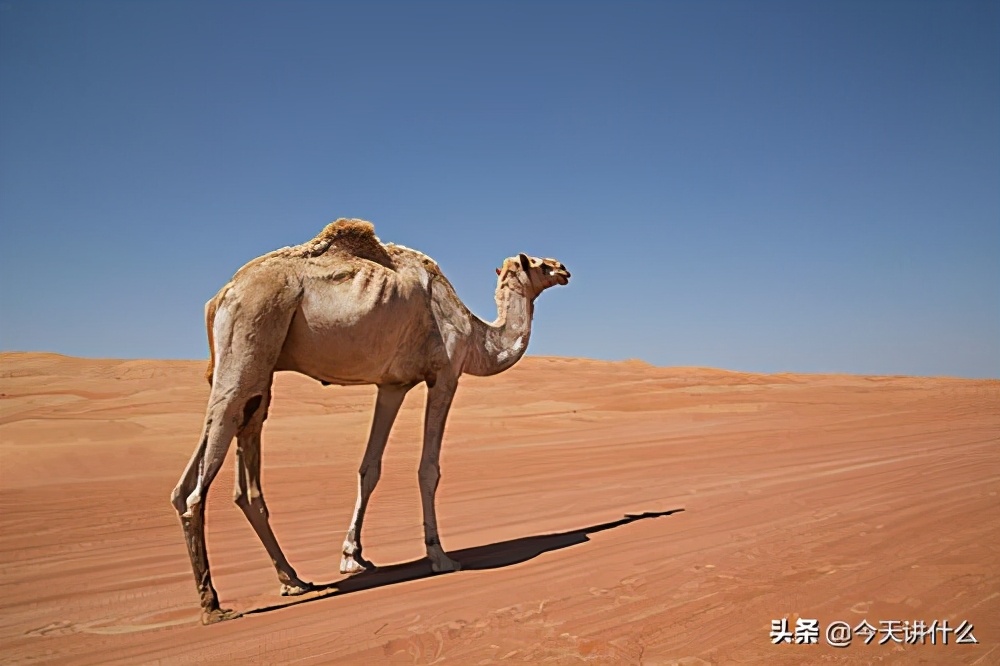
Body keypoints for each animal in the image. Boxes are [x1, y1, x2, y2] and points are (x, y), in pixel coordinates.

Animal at [172, 218, 572, 624]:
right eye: (538, 264)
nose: (564, 269)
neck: (478, 337)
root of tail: (222, 295)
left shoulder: (392, 384)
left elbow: (370, 468)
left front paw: (353, 556)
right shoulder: (446, 374)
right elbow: (428, 469)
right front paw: (440, 556)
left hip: (258, 374)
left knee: (232, 468)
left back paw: (293, 580)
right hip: (247, 341)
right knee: (198, 479)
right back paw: (213, 605)